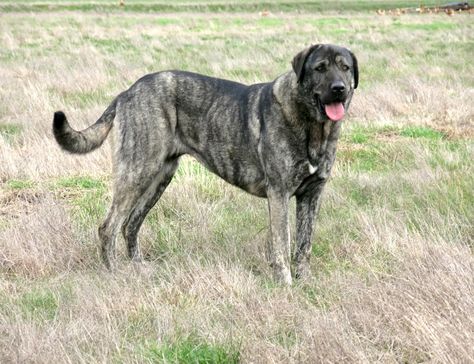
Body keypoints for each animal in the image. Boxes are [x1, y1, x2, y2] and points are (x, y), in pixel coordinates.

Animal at [53, 44, 358, 284]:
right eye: (319, 68)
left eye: (345, 67)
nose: (339, 89)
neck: (313, 126)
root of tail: (127, 92)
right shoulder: (279, 194)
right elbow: (282, 243)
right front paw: (285, 284)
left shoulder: (311, 195)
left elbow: (304, 245)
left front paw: (305, 281)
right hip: (138, 172)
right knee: (109, 227)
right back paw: (115, 274)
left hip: (159, 178)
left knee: (131, 224)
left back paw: (139, 269)